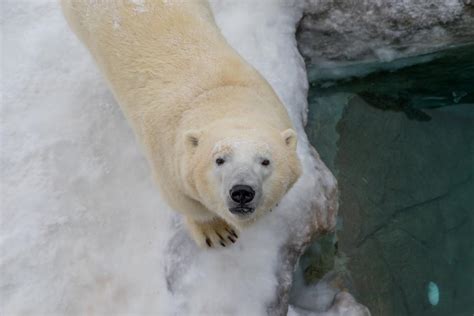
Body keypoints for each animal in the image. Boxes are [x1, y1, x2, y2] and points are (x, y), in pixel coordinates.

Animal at [61, 0, 302, 247]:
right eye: (219, 160)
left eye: (266, 161)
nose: (242, 192)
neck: (219, 94)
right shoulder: (167, 158)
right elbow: (186, 201)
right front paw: (217, 232)